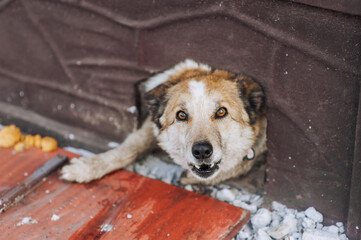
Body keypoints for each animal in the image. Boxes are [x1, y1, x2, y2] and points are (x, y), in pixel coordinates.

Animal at [60, 59, 266, 185]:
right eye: (181, 115)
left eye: (221, 112)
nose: (201, 151)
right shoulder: (150, 128)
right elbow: (128, 150)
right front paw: (86, 168)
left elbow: (242, 161)